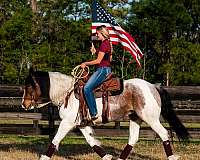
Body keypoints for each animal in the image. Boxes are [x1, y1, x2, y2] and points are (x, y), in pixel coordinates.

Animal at [21, 68, 189, 159]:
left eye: (29, 86)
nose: (24, 104)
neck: (67, 93)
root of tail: (153, 86)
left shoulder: (67, 123)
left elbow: (55, 140)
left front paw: (44, 157)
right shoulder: (81, 124)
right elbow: (92, 142)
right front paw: (107, 156)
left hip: (151, 118)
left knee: (164, 134)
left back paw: (172, 157)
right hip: (135, 118)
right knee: (133, 139)